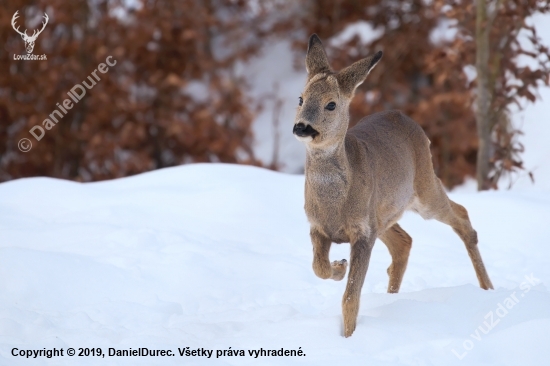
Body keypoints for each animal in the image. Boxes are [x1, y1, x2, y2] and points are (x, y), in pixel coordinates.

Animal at [294, 34, 496, 338]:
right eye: (301, 98)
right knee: (404, 241)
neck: (334, 204)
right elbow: (319, 268)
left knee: (461, 215)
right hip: (384, 212)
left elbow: (351, 297)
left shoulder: (363, 232)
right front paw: (339, 267)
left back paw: (488, 288)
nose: (302, 127)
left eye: (331, 104)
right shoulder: (318, 227)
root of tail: (408, 119)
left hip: (423, 187)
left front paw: (348, 336)